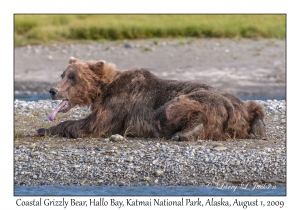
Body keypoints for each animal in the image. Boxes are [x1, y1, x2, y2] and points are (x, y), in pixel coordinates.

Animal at [37, 56, 264, 140]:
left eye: (73, 77)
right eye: (63, 74)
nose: (52, 90)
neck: (103, 89)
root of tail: (237, 110)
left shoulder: (118, 104)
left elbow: (91, 125)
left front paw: (44, 129)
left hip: (196, 97)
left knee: (166, 113)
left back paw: (185, 133)